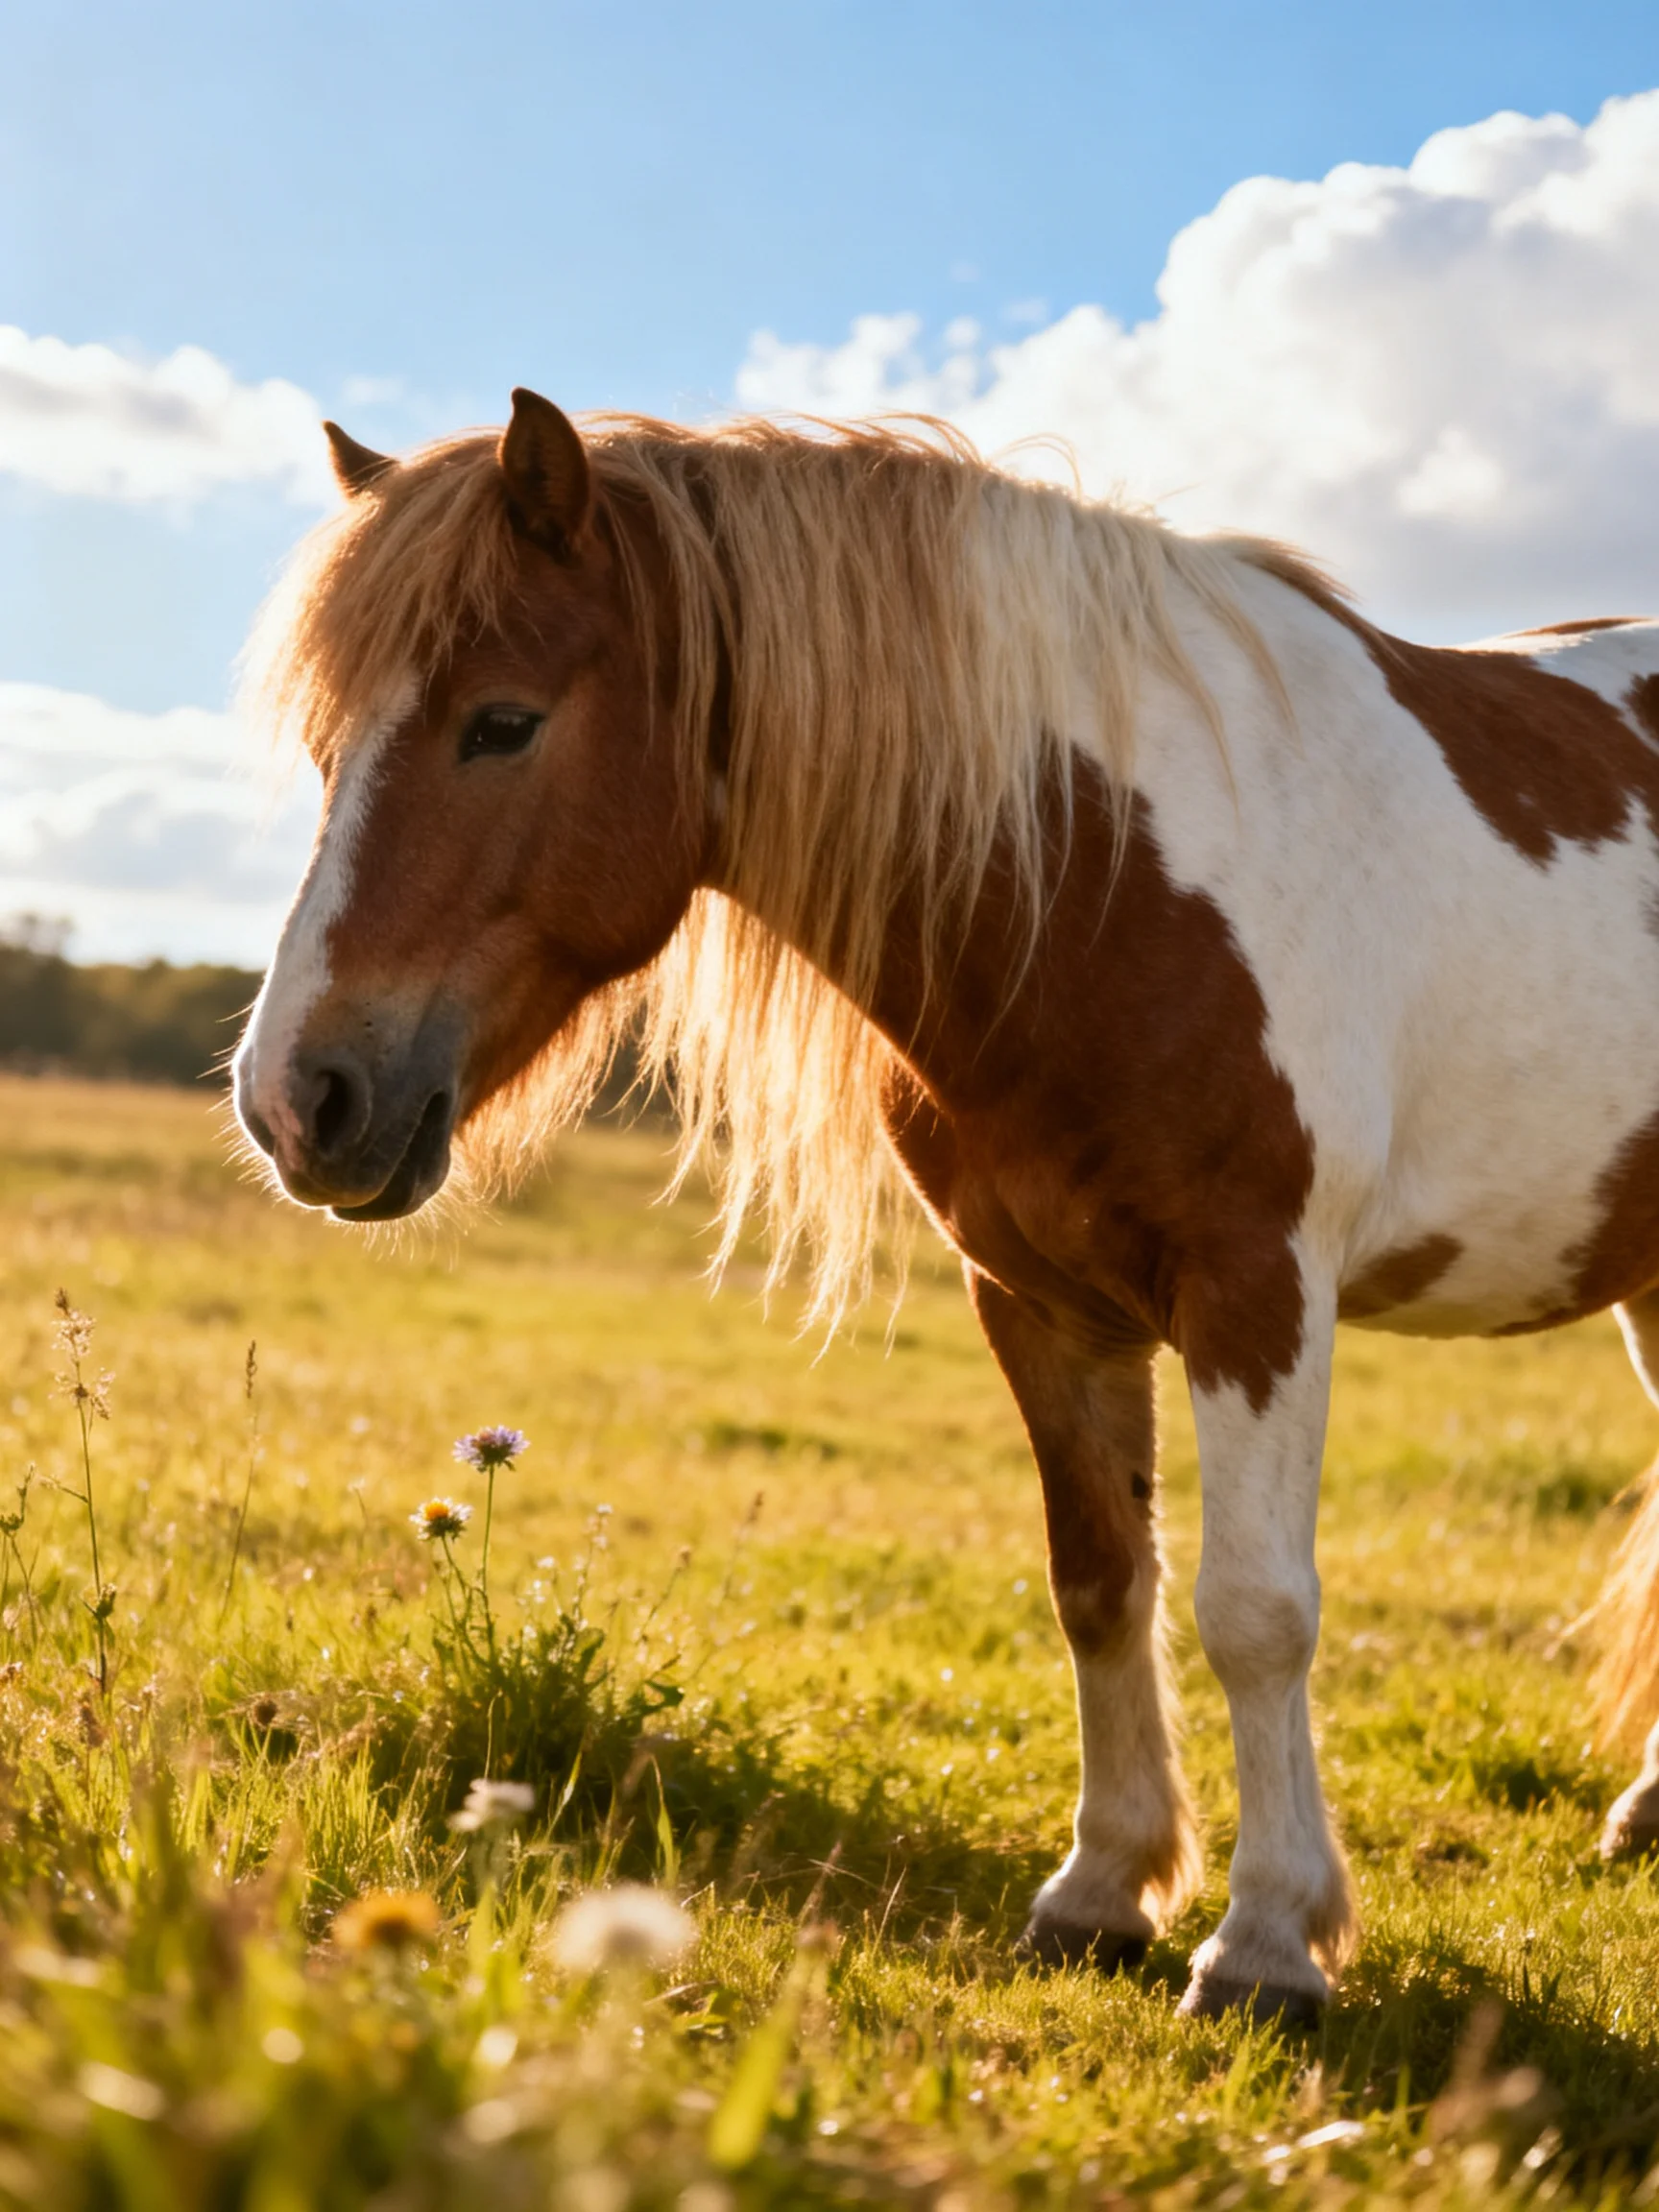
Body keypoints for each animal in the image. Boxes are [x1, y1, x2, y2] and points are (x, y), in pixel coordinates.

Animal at [233, 389, 1659, 2023]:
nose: (295, 1101)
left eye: (503, 723)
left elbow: (1254, 1610)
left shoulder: (1258, 1289)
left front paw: (1265, 1943)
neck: (1103, 873)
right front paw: (1103, 1890)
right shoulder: (1040, 1299)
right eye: (329, 744)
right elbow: (1099, 1581)